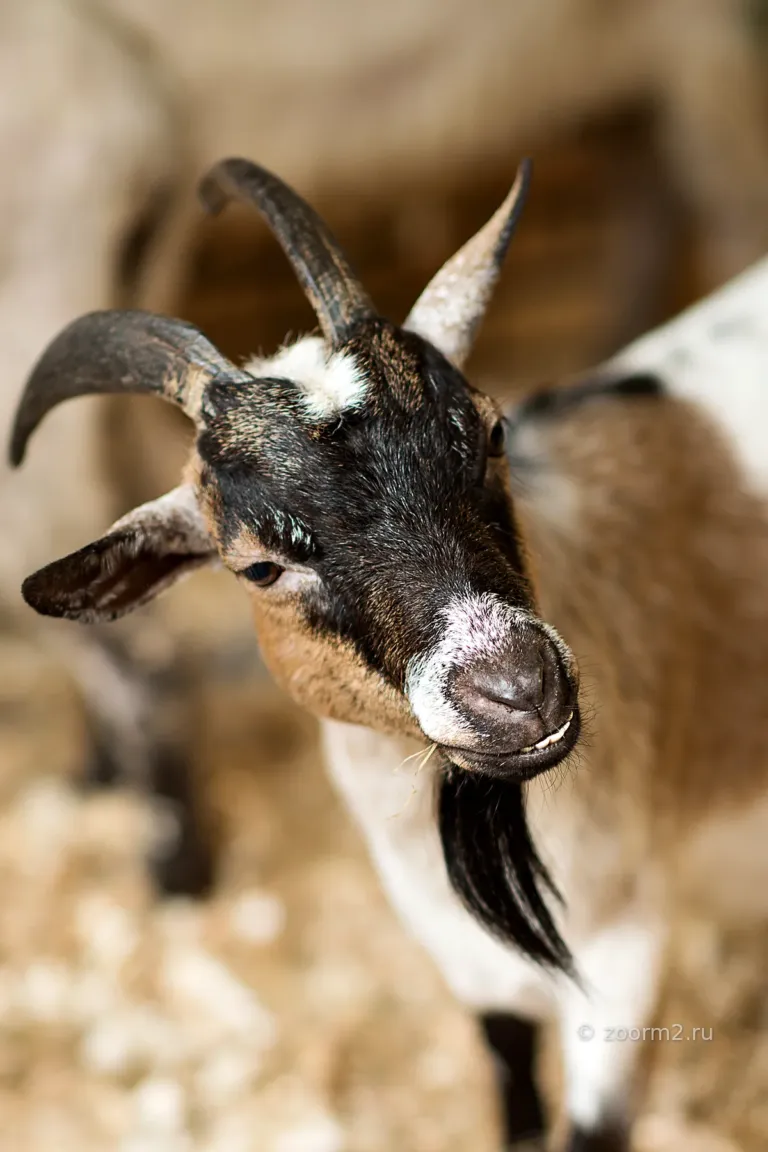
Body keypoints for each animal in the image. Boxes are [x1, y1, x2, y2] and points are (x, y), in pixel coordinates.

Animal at [11, 155, 768, 1150]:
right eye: (259, 565)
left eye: (489, 432)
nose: (516, 688)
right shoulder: (473, 970)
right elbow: (511, 1088)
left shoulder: (625, 955)